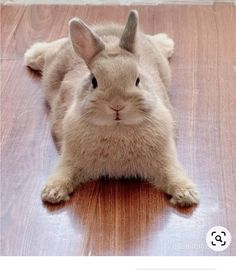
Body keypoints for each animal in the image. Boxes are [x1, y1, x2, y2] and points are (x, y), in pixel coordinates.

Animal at [24, 9, 199, 206]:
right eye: (94, 81)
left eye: (138, 80)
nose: (117, 106)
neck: (117, 128)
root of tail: (106, 27)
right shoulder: (69, 157)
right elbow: (64, 172)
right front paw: (52, 192)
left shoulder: (166, 158)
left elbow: (173, 173)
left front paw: (186, 195)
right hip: (53, 65)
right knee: (49, 50)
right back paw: (32, 54)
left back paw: (166, 41)